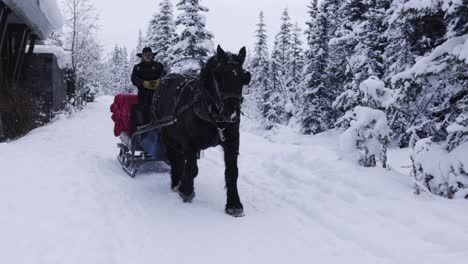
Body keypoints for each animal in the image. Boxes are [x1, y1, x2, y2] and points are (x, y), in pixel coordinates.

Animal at [152, 46, 250, 218]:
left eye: (243, 77)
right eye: (219, 75)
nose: (231, 113)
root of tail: (165, 79)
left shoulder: (232, 141)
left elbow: (232, 172)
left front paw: (234, 205)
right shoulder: (189, 142)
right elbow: (191, 166)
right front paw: (186, 191)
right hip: (167, 134)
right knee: (174, 156)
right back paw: (176, 182)